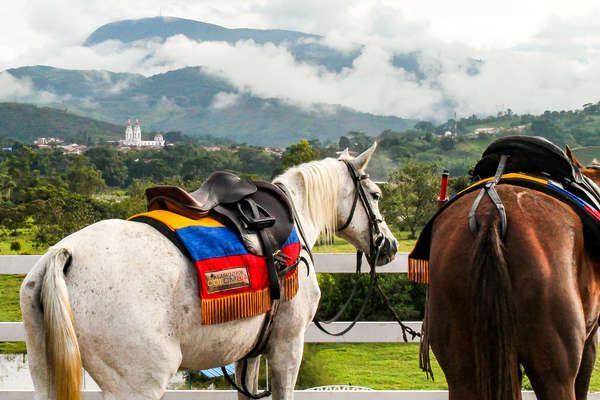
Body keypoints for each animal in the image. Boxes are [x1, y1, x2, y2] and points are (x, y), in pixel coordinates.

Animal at [19, 144, 398, 400]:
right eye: (376, 194)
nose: (390, 246)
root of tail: (63, 254)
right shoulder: (287, 345)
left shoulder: (250, 351)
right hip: (139, 382)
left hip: (45, 371)